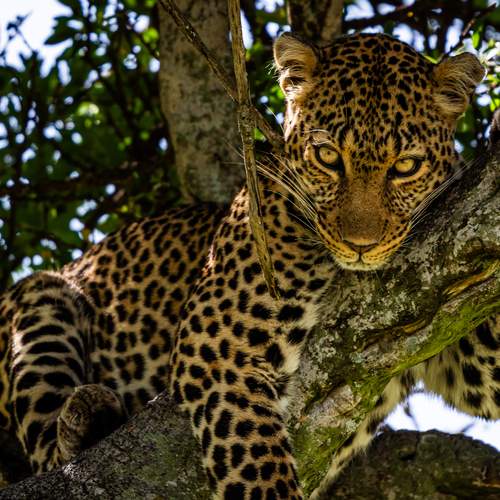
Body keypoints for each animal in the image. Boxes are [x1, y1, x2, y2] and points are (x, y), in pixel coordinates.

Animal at [0, 31, 497, 500]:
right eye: (328, 157)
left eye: (406, 166)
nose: (361, 245)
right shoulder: (218, 344)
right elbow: (258, 465)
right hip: (41, 299)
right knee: (47, 453)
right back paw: (86, 416)